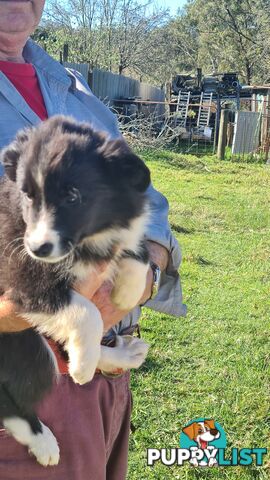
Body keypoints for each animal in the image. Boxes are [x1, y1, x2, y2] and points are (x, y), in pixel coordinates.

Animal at [0, 115, 150, 464]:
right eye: (27, 196)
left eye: (72, 196)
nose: (38, 248)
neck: (87, 241)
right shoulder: (22, 275)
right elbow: (87, 311)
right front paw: (83, 367)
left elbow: (137, 246)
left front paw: (127, 290)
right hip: (21, 343)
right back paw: (43, 440)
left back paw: (119, 354)